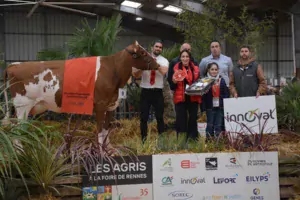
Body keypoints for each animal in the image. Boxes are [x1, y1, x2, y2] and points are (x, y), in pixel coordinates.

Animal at [2, 40, 162, 146]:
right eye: (143, 52)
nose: (157, 64)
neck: (113, 71)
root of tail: (13, 65)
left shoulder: (111, 105)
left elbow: (106, 129)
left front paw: (108, 149)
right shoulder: (100, 104)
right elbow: (99, 129)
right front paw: (100, 151)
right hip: (23, 105)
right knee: (17, 129)